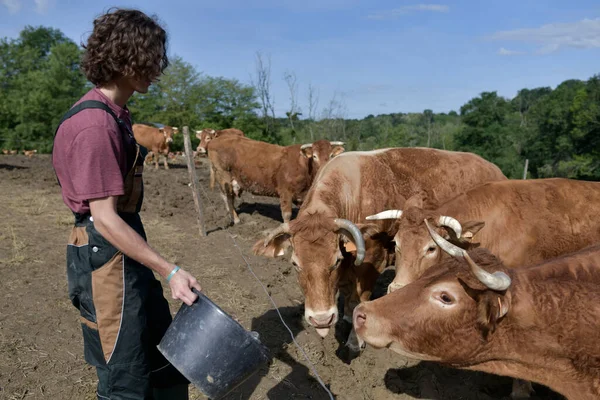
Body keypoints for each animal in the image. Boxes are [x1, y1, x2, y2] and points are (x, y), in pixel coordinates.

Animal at [207, 136, 344, 225]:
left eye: (331, 155)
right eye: (314, 156)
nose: (325, 168)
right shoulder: (285, 192)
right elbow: (287, 215)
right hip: (224, 176)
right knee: (228, 197)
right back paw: (236, 219)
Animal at [253, 147, 506, 354]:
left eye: (335, 261)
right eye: (295, 263)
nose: (321, 320)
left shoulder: (372, 261)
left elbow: (359, 300)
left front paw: (354, 340)